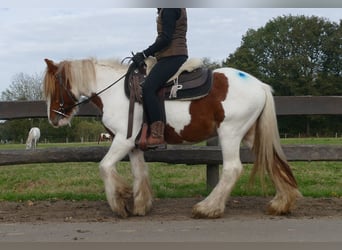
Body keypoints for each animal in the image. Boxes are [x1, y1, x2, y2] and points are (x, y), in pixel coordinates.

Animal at [42, 57, 302, 218]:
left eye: (55, 88)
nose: (54, 119)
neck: (116, 91)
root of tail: (260, 85)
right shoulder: (133, 145)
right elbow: (139, 172)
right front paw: (140, 205)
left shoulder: (123, 140)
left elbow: (104, 167)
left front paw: (119, 201)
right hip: (251, 135)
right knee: (273, 161)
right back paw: (281, 204)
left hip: (230, 133)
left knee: (232, 169)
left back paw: (207, 208)